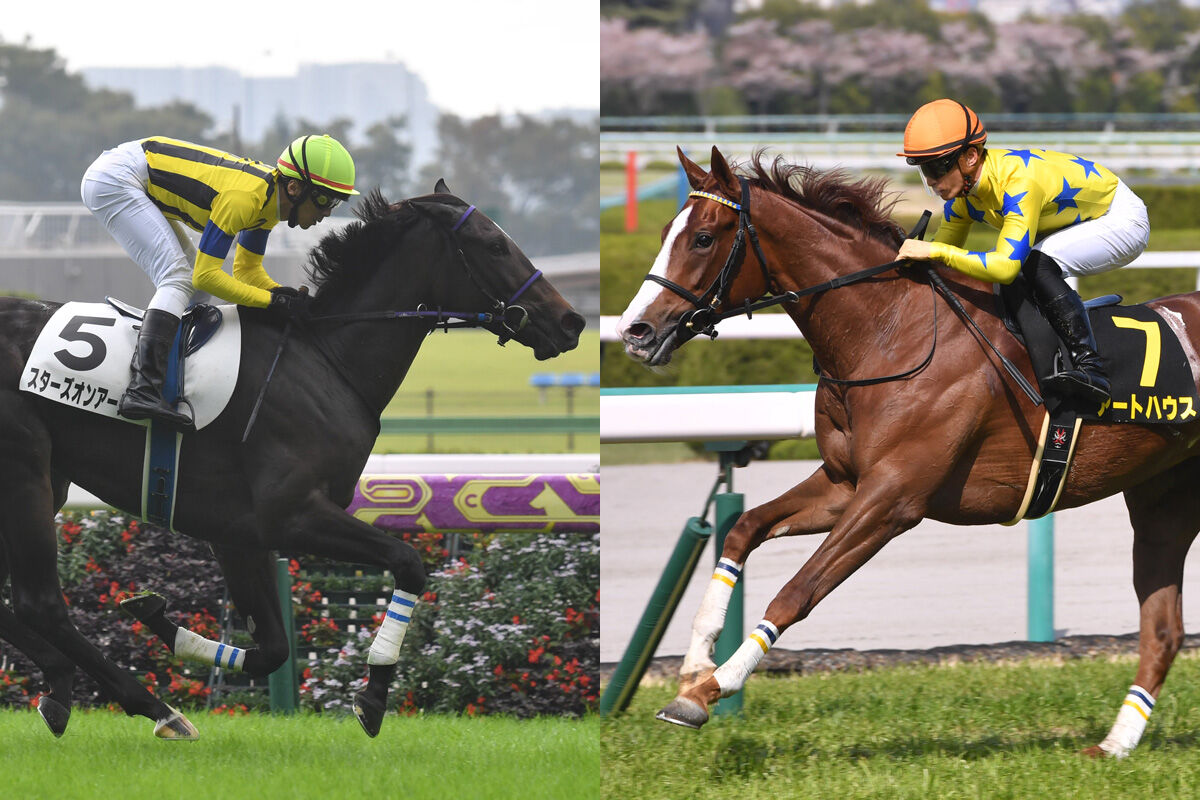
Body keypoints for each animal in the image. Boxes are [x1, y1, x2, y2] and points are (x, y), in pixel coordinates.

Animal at [0, 181, 585, 739]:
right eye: (494, 245)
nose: (572, 320)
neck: (324, 358)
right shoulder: (291, 513)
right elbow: (408, 563)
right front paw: (373, 698)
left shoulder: (237, 531)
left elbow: (274, 649)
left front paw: (160, 619)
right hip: (24, 473)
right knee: (40, 604)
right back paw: (156, 709)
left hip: (46, 484)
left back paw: (62, 688)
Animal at [615, 146, 1200, 758]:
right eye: (666, 232)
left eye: (703, 238)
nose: (634, 331)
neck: (891, 332)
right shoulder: (846, 483)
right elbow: (743, 529)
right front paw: (694, 666)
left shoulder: (894, 499)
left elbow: (797, 591)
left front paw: (713, 687)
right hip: (1162, 503)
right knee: (1163, 630)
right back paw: (1114, 745)